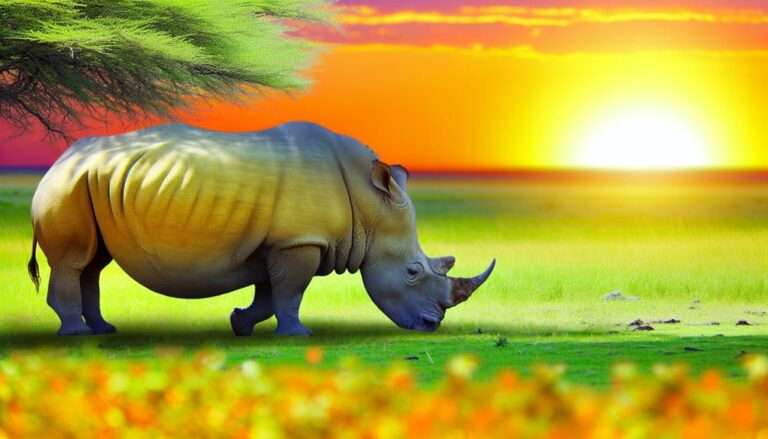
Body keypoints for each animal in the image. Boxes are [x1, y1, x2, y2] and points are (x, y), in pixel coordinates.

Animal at [27, 122, 495, 336]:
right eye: (413, 272)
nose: (432, 325)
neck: (369, 206)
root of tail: (59, 159)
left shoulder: (280, 243)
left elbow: (270, 293)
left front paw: (240, 324)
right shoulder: (298, 242)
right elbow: (290, 292)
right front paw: (299, 335)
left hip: (90, 183)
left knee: (93, 262)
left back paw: (103, 330)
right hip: (69, 184)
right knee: (73, 261)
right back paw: (76, 333)